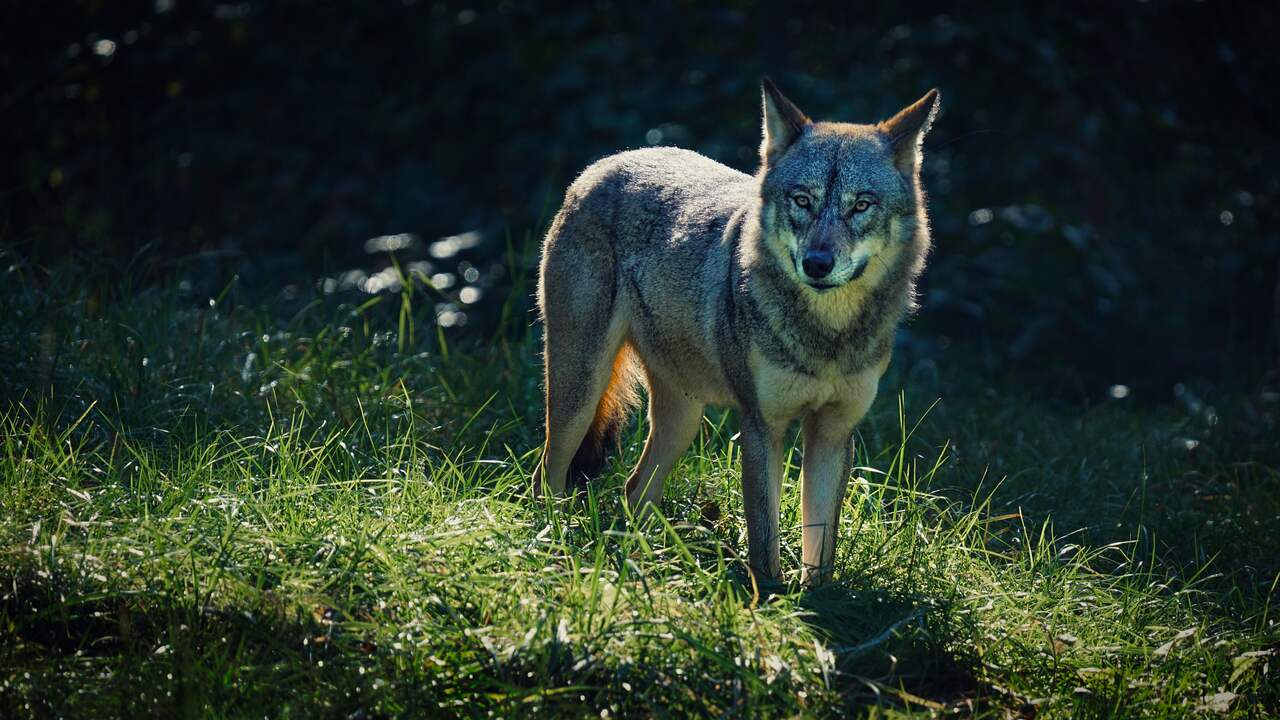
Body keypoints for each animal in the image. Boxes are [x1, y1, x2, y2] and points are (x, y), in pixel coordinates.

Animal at [532, 79, 940, 588]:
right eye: (802, 200)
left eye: (860, 205)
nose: (817, 264)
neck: (826, 338)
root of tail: (600, 166)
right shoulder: (761, 426)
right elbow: (764, 537)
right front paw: (769, 597)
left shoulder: (832, 433)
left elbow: (820, 546)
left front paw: (815, 600)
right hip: (579, 395)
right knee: (547, 476)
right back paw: (551, 542)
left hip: (682, 419)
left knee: (633, 490)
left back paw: (646, 563)